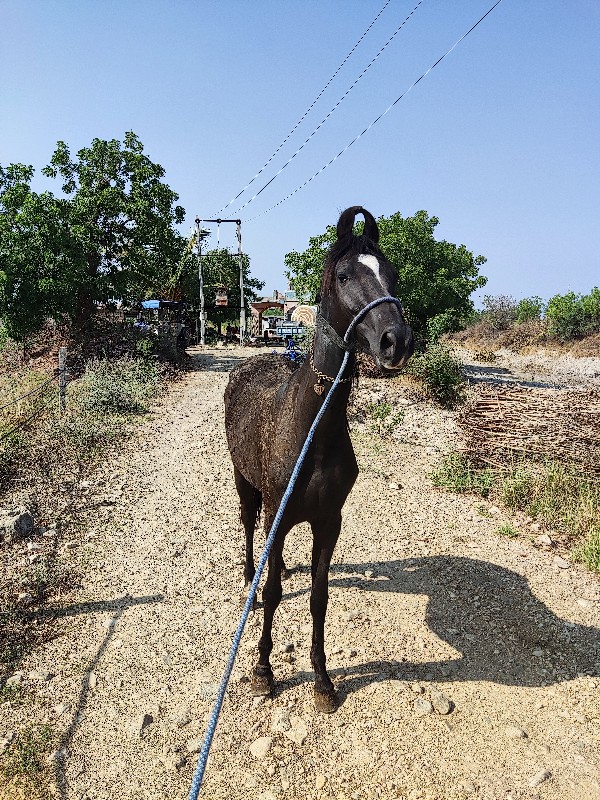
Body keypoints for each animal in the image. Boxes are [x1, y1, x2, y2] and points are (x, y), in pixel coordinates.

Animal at [223, 208, 414, 712]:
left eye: (392, 274)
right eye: (344, 275)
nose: (397, 341)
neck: (311, 431)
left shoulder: (329, 521)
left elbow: (319, 596)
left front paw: (323, 680)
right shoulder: (278, 513)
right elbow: (272, 594)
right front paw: (263, 670)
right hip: (245, 484)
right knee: (247, 527)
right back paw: (249, 573)